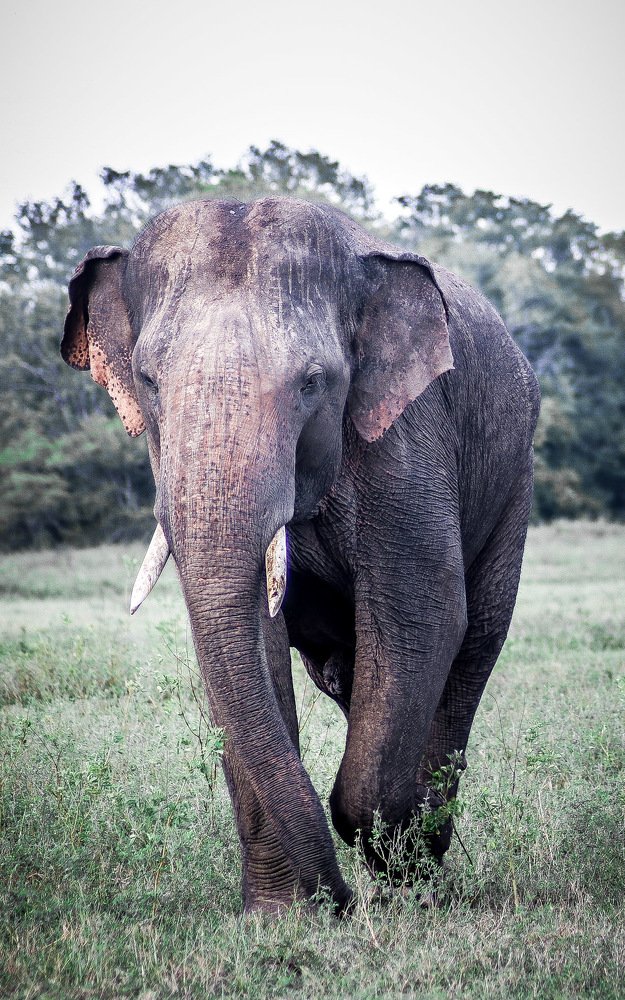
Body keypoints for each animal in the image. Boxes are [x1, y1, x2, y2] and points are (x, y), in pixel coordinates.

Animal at [61, 197, 540, 915]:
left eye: (314, 382)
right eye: (147, 380)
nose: (338, 900)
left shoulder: (409, 436)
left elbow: (420, 614)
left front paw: (398, 875)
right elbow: (252, 640)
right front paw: (280, 915)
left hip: (515, 484)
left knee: (472, 645)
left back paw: (426, 861)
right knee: (348, 675)